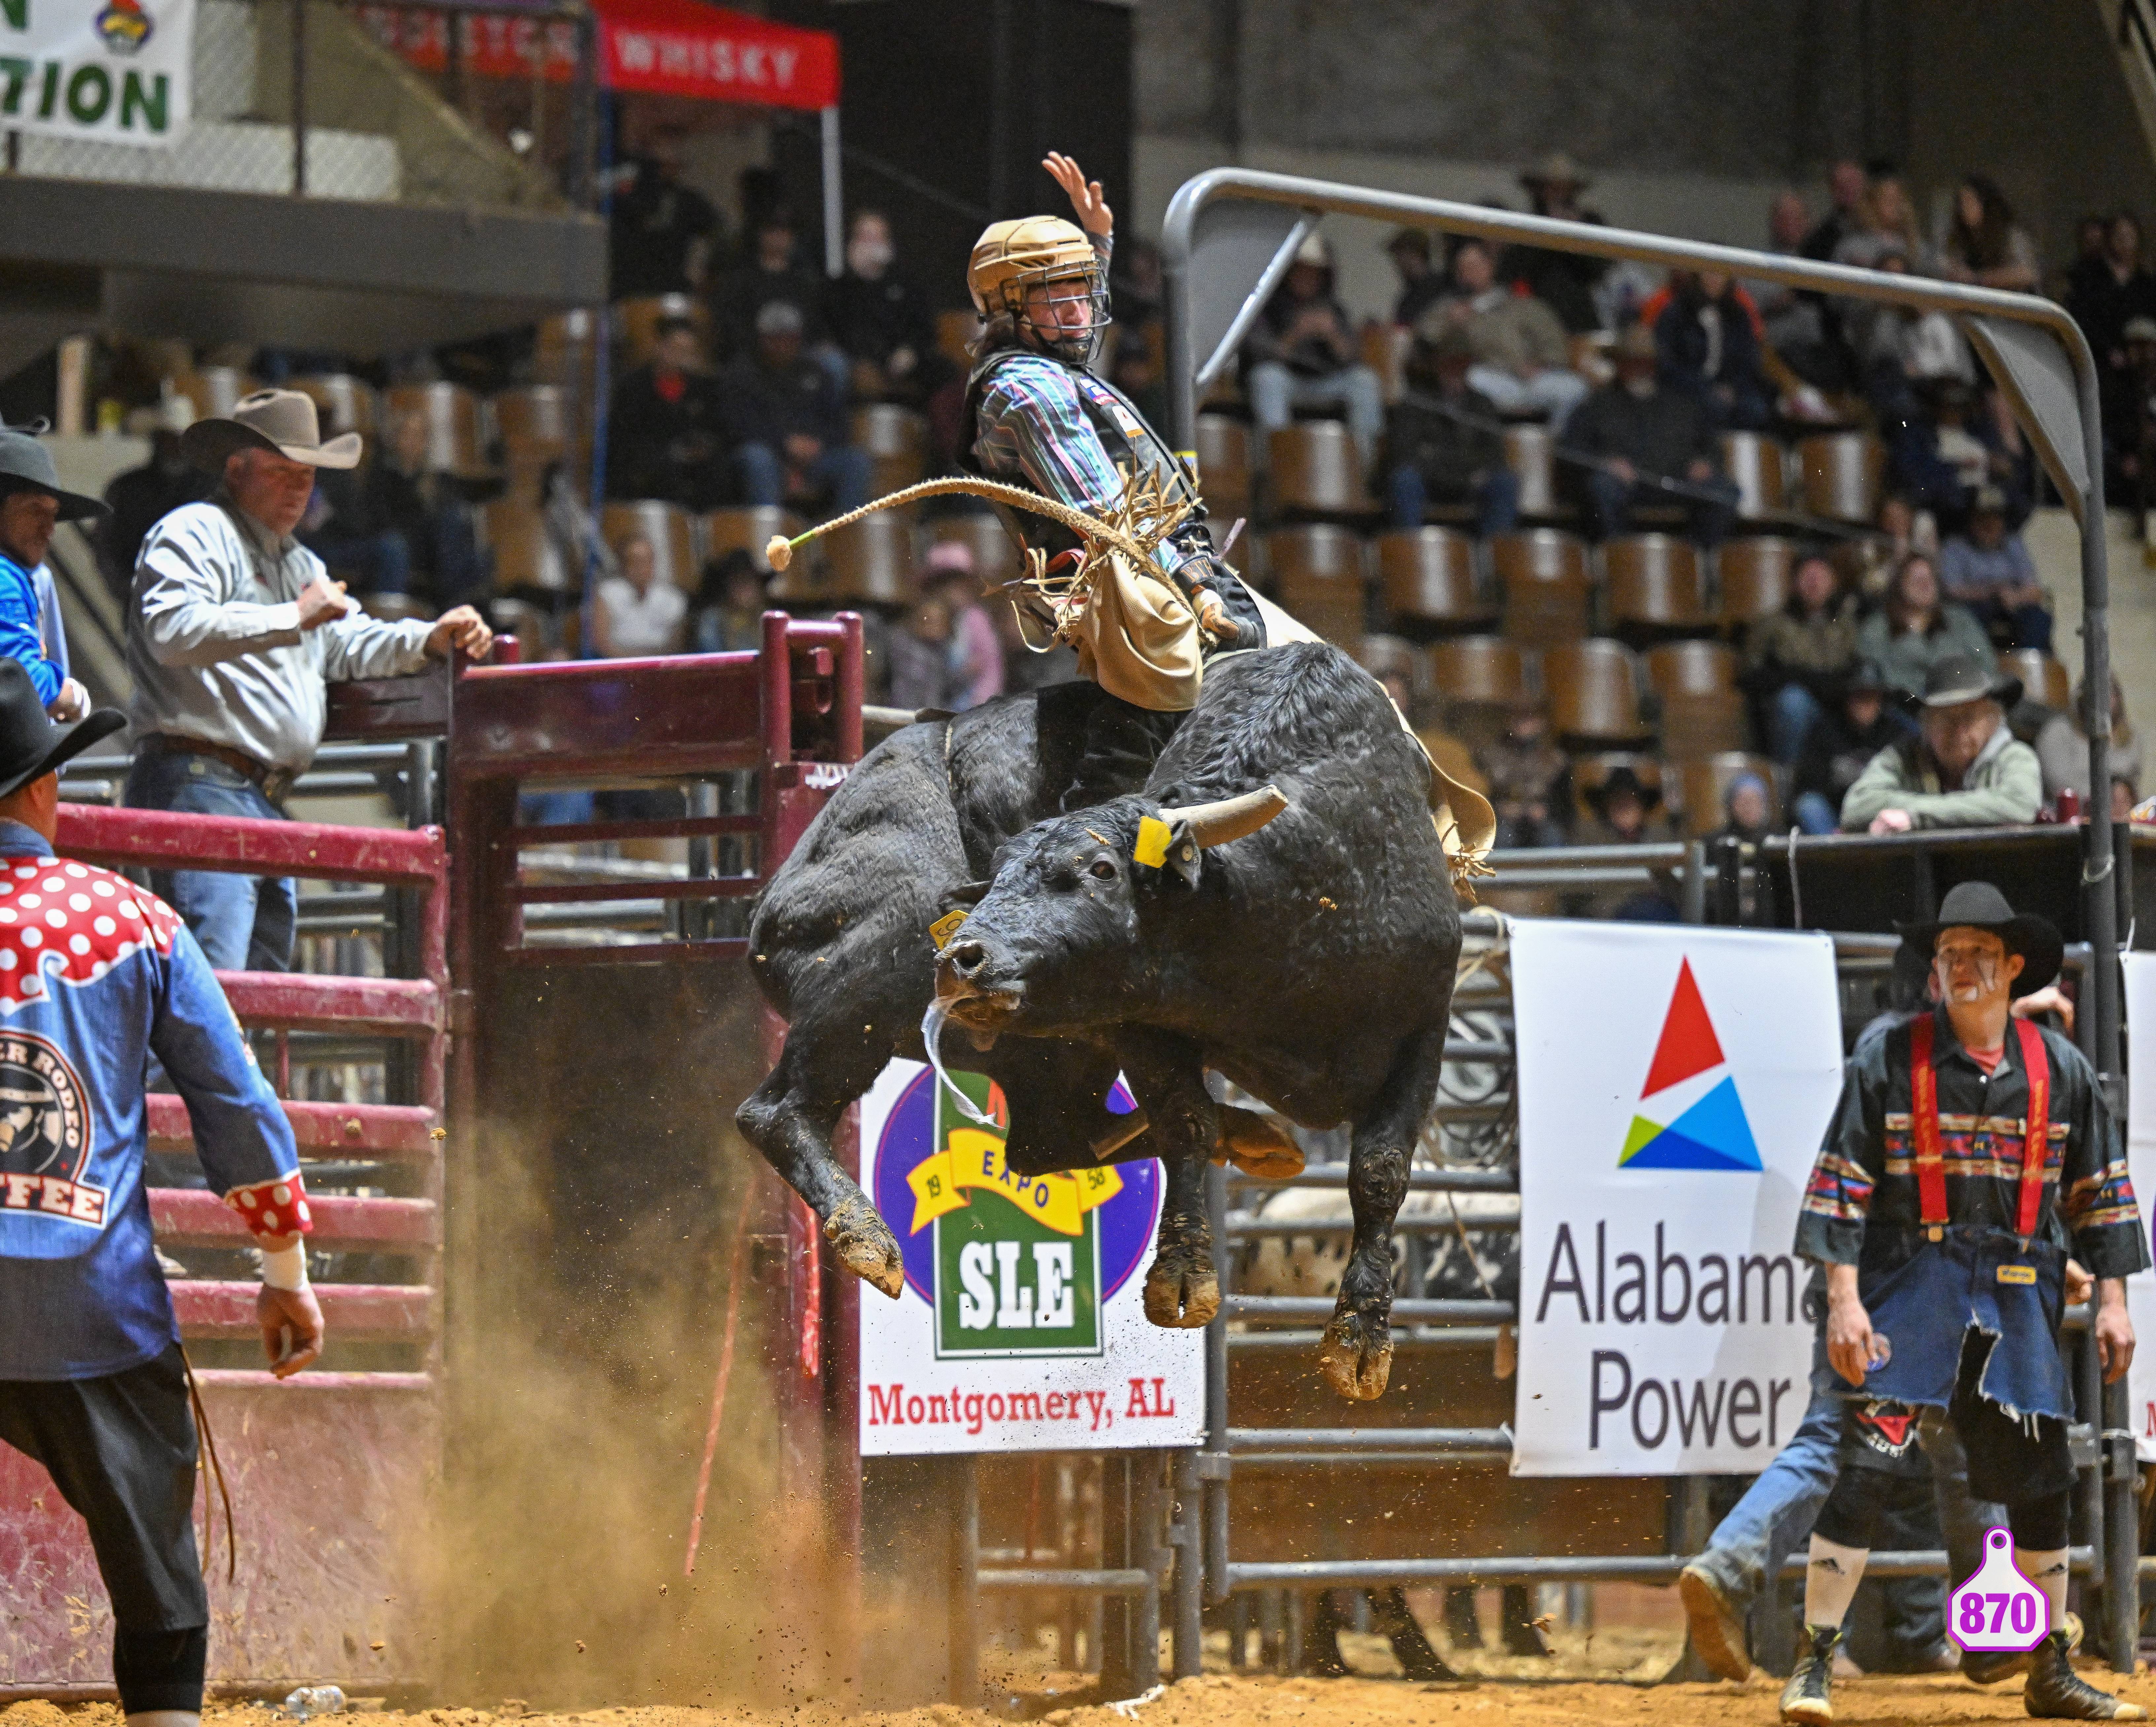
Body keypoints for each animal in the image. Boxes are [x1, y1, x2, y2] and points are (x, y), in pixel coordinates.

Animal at [741, 638, 1466, 1397]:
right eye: (999, 874)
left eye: (1099, 868)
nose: (962, 958)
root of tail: (771, 906)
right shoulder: (1139, 1024)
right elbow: (1185, 1123)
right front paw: (1183, 1278)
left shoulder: (1424, 1026)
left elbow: (1380, 1171)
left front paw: (1361, 1339)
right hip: (866, 985)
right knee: (781, 1111)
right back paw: (868, 1240)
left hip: (1043, 1055)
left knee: (1046, 1143)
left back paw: (1255, 1134)